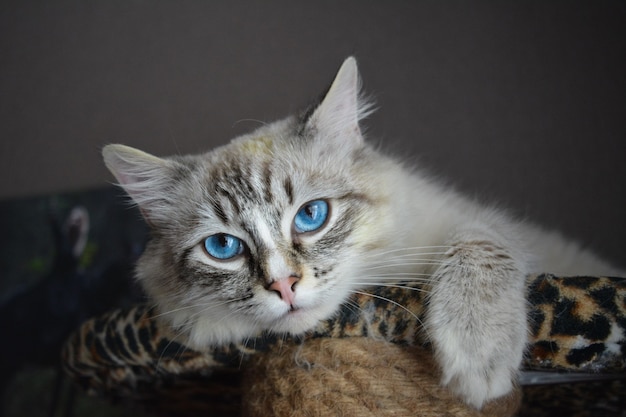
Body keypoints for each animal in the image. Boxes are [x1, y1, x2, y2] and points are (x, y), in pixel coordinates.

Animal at [102, 57, 620, 408]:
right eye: (223, 246)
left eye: (311, 215)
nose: (284, 285)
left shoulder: (484, 226)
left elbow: (476, 248)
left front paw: (478, 360)